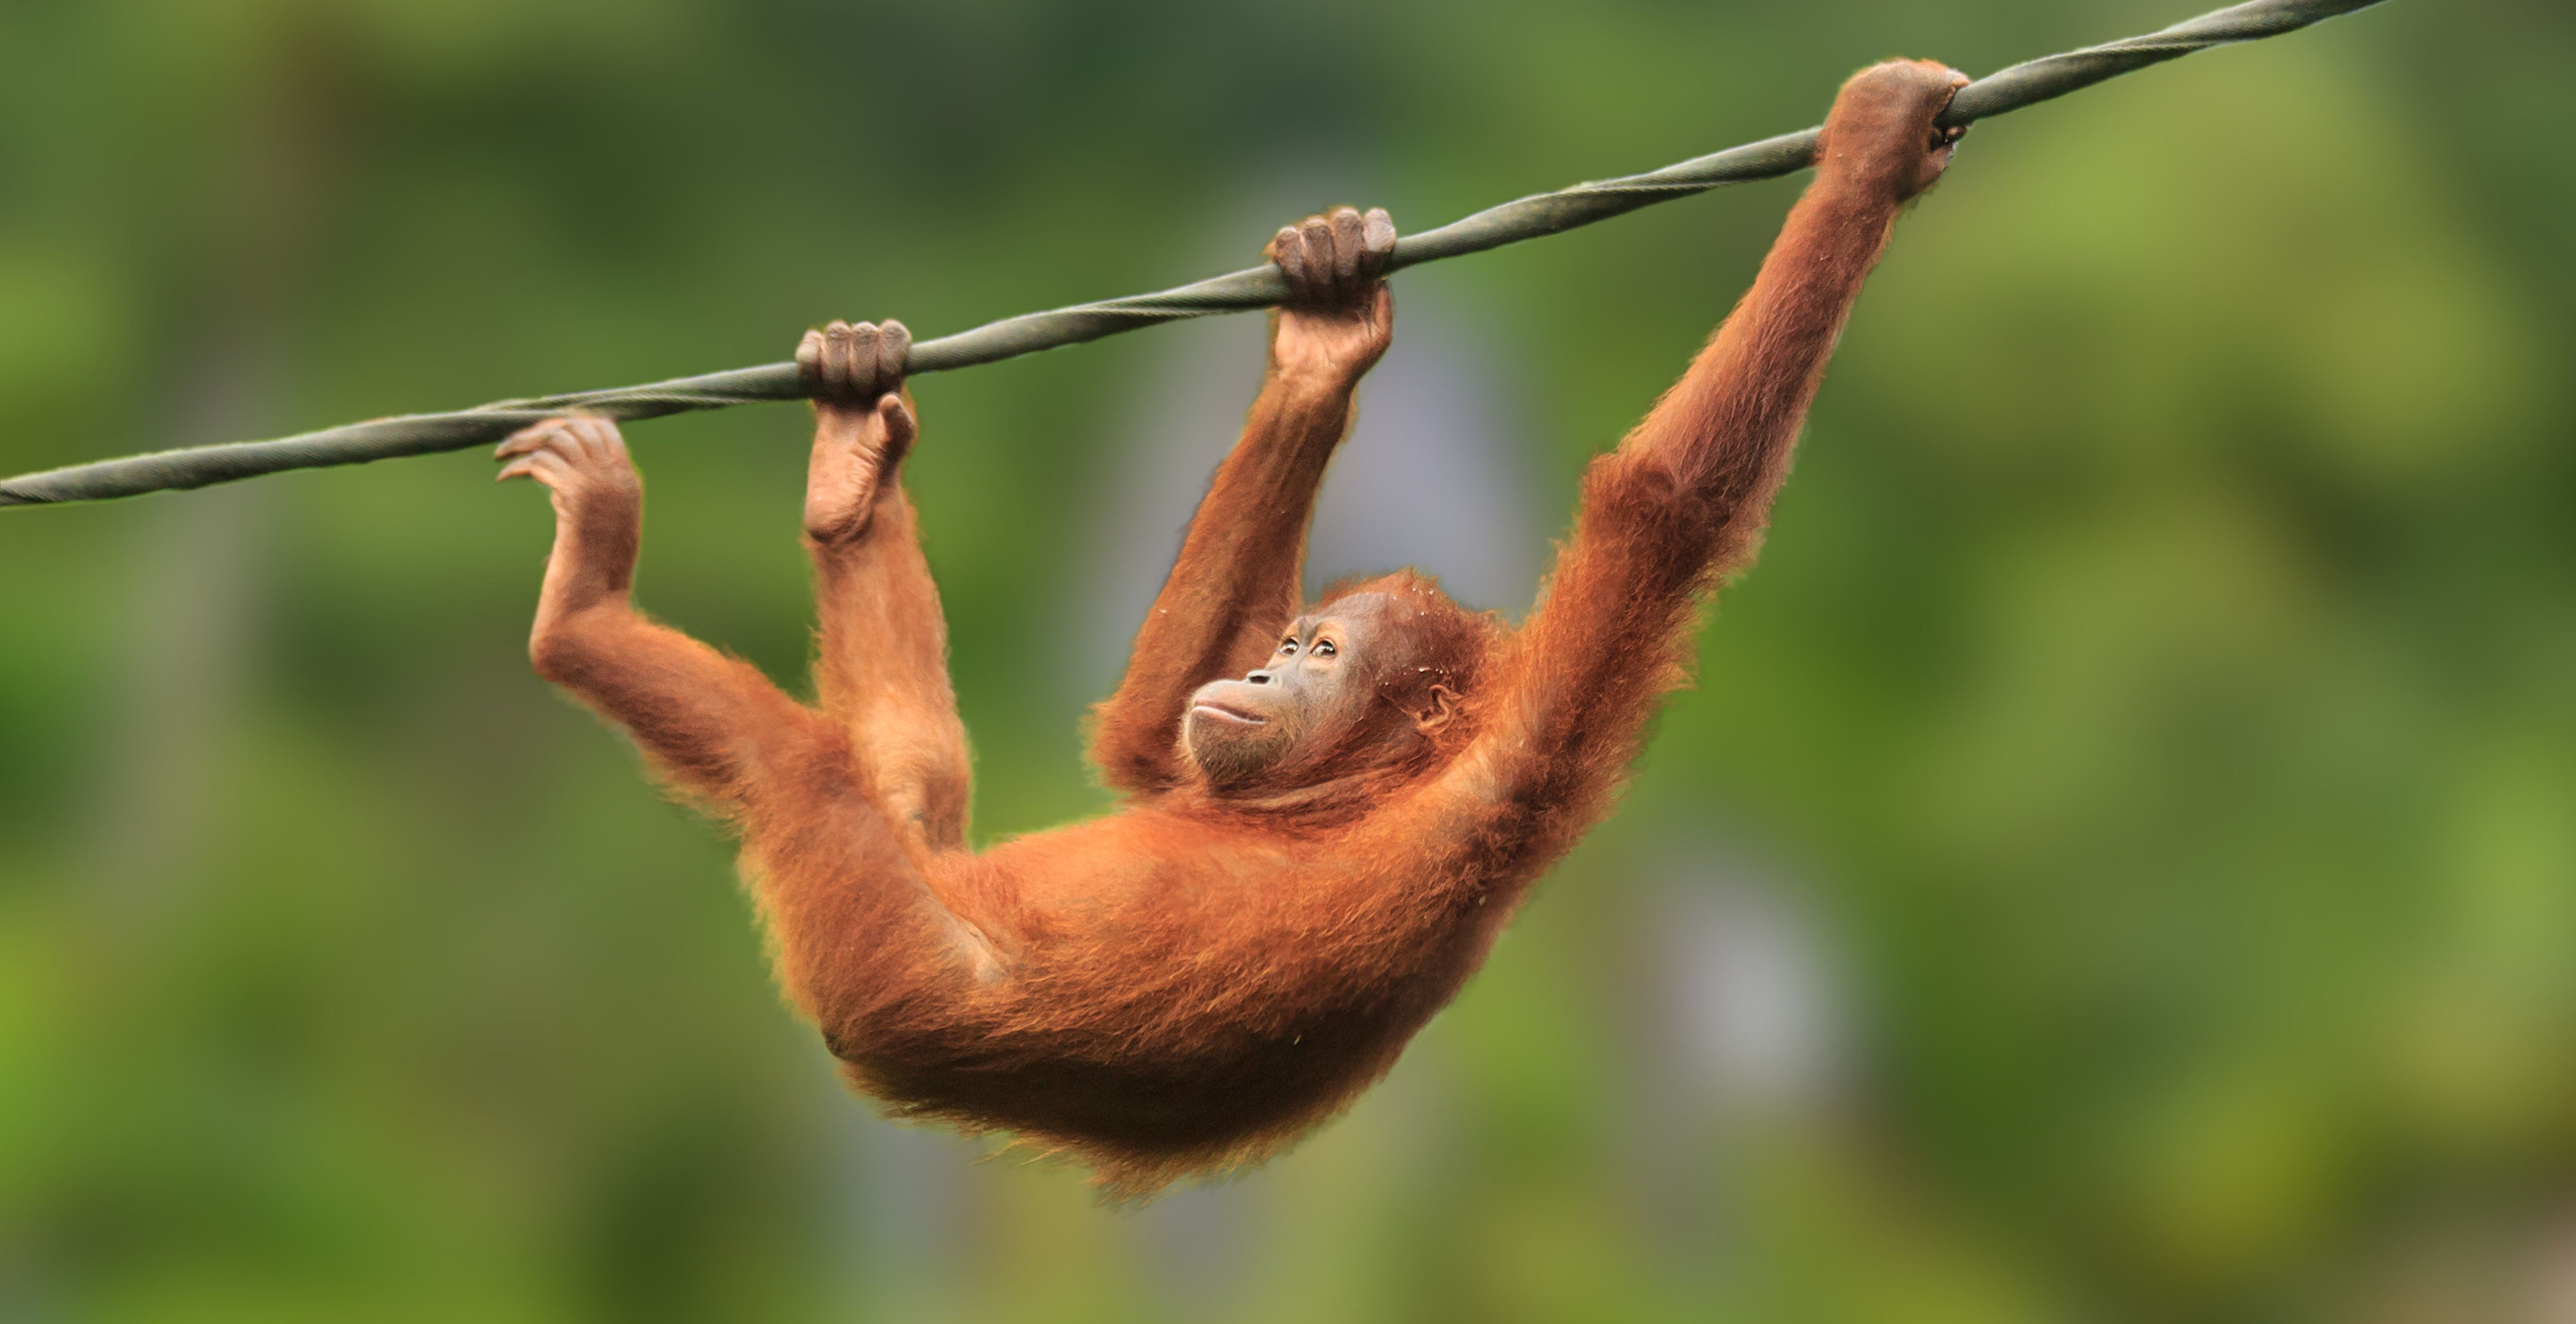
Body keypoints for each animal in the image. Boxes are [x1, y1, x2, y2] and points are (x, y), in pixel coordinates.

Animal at [495, 59, 1970, 1197]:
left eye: (1321, 657)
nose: (1262, 663)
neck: (1344, 796)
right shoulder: (1256, 756)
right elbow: (1151, 740)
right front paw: (1327, 333)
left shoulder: (1512, 770)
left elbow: (1655, 513)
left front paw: (1870, 153)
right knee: (913, 774)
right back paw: (851, 467)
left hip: (883, 958)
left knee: (813, 776)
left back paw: (586, 606)